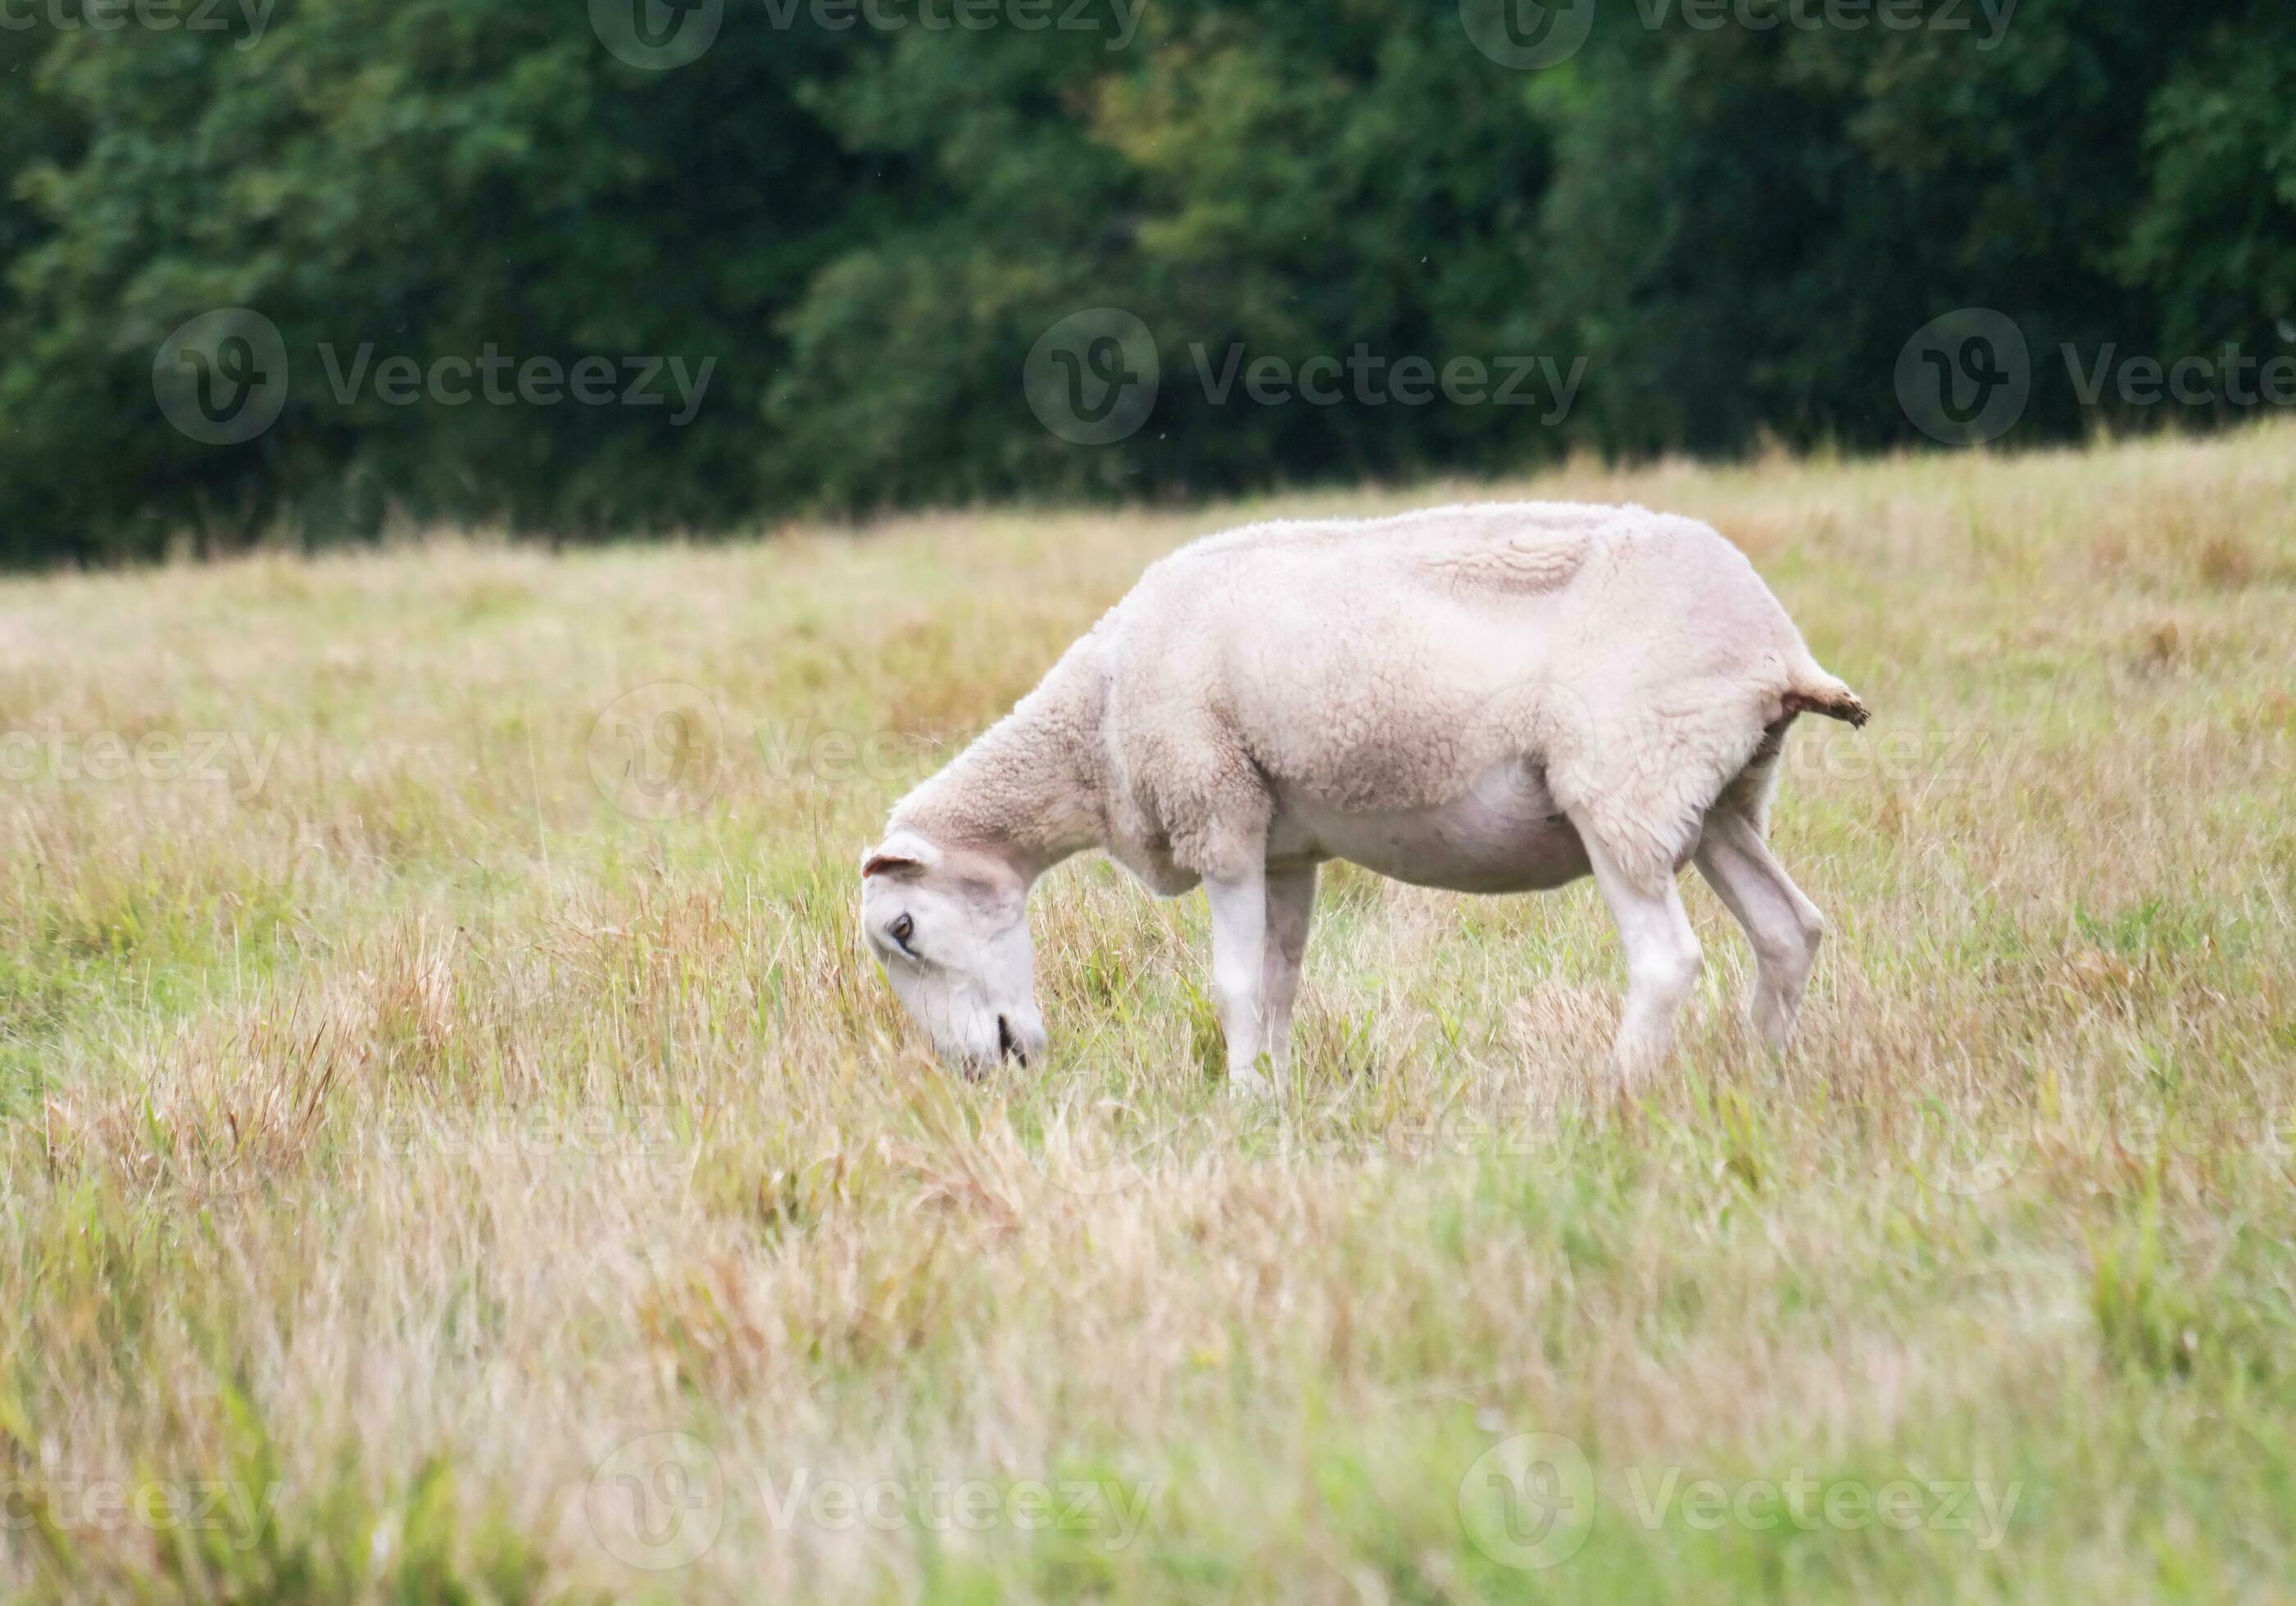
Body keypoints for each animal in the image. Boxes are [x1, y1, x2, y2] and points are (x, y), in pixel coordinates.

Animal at [860, 502, 1868, 1093]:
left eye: (902, 929)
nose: (982, 1074)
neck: (1095, 720)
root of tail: (1776, 646)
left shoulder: (1218, 811)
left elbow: (1233, 984)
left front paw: (1238, 1105)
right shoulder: (1284, 846)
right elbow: (1278, 983)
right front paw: (1273, 1096)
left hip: (1625, 783)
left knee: (1667, 961)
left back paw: (1614, 1095)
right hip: (1721, 794)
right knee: (1789, 929)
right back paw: (1759, 1079)